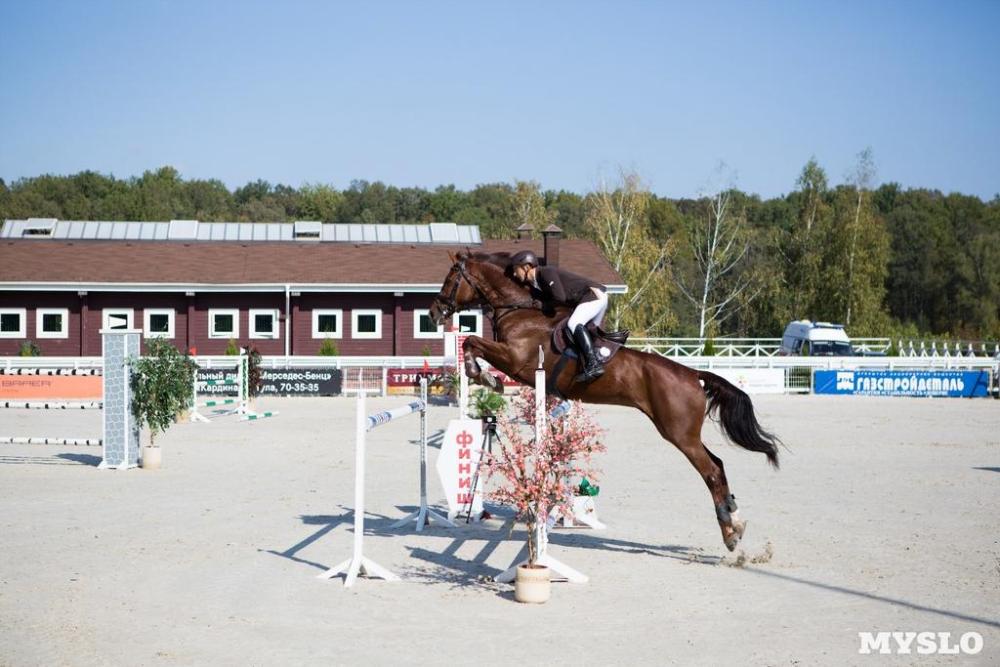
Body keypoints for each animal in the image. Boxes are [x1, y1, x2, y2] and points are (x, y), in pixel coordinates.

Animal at [429, 251, 781, 551]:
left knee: (711, 470)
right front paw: (485, 377)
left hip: (679, 432)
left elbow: (472, 342)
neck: (520, 309)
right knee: (718, 465)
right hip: (682, 432)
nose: (434, 311)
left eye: (450, 277)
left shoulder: (516, 360)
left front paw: (483, 376)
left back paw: (730, 531)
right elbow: (472, 344)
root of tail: (694, 375)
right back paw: (734, 522)